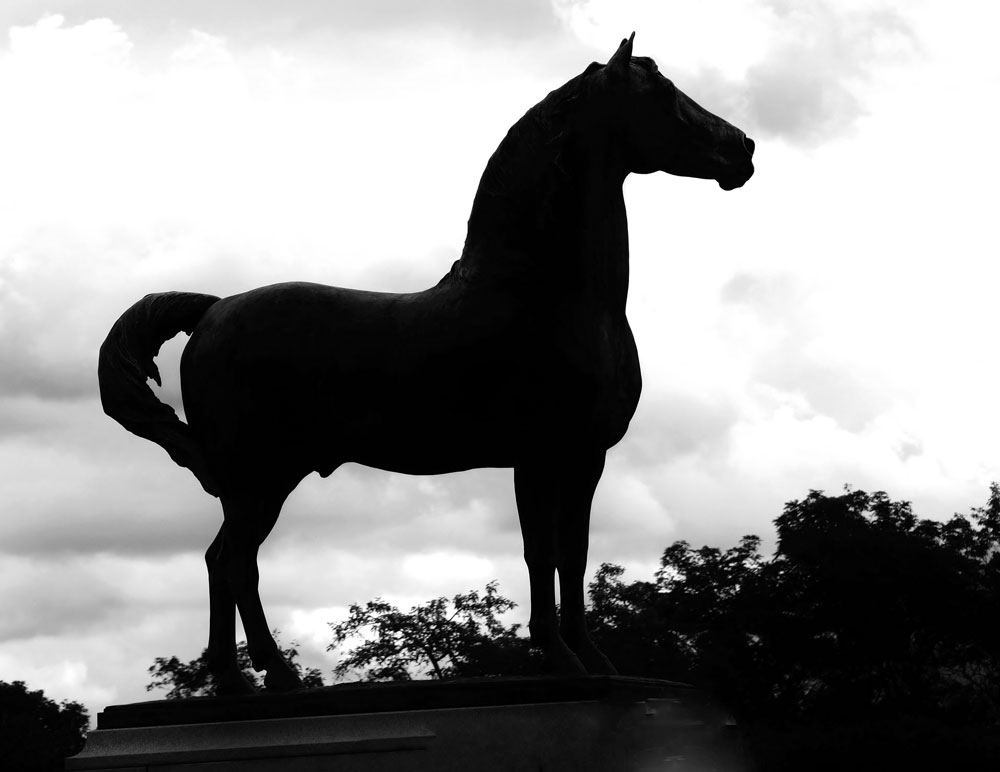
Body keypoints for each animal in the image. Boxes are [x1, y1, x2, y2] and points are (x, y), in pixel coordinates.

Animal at [103, 34, 756, 692]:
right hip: (259, 477)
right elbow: (540, 552)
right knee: (233, 561)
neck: (547, 296)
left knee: (226, 562)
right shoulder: (538, 456)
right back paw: (268, 678)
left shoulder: (584, 457)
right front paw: (561, 658)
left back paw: (242, 681)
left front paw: (596, 663)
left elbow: (574, 554)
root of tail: (213, 310)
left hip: (260, 481)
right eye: (663, 94)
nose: (743, 150)